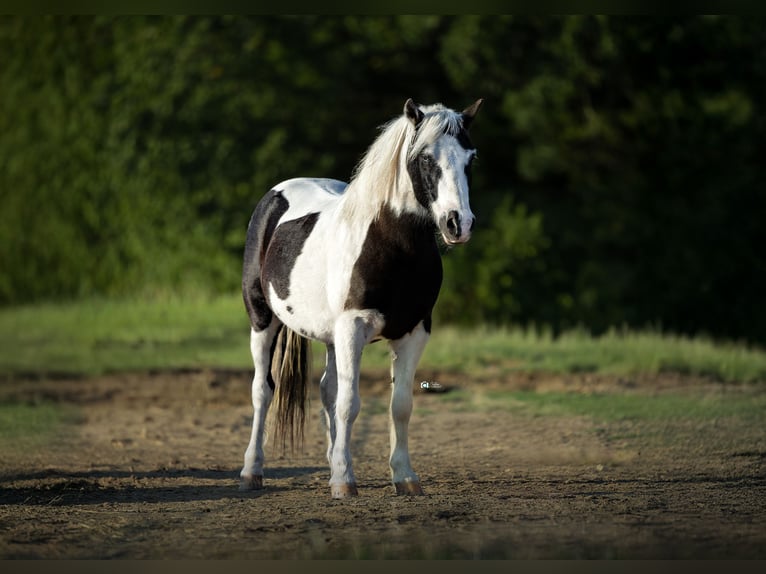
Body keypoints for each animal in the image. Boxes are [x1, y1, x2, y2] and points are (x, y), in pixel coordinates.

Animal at [239, 98, 483, 498]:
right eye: (425, 158)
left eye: (471, 158)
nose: (457, 224)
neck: (391, 245)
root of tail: (275, 195)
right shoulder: (353, 327)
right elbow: (350, 403)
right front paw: (344, 482)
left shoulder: (414, 332)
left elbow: (400, 406)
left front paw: (404, 477)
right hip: (263, 320)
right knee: (263, 391)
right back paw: (251, 471)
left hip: (331, 337)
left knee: (326, 390)